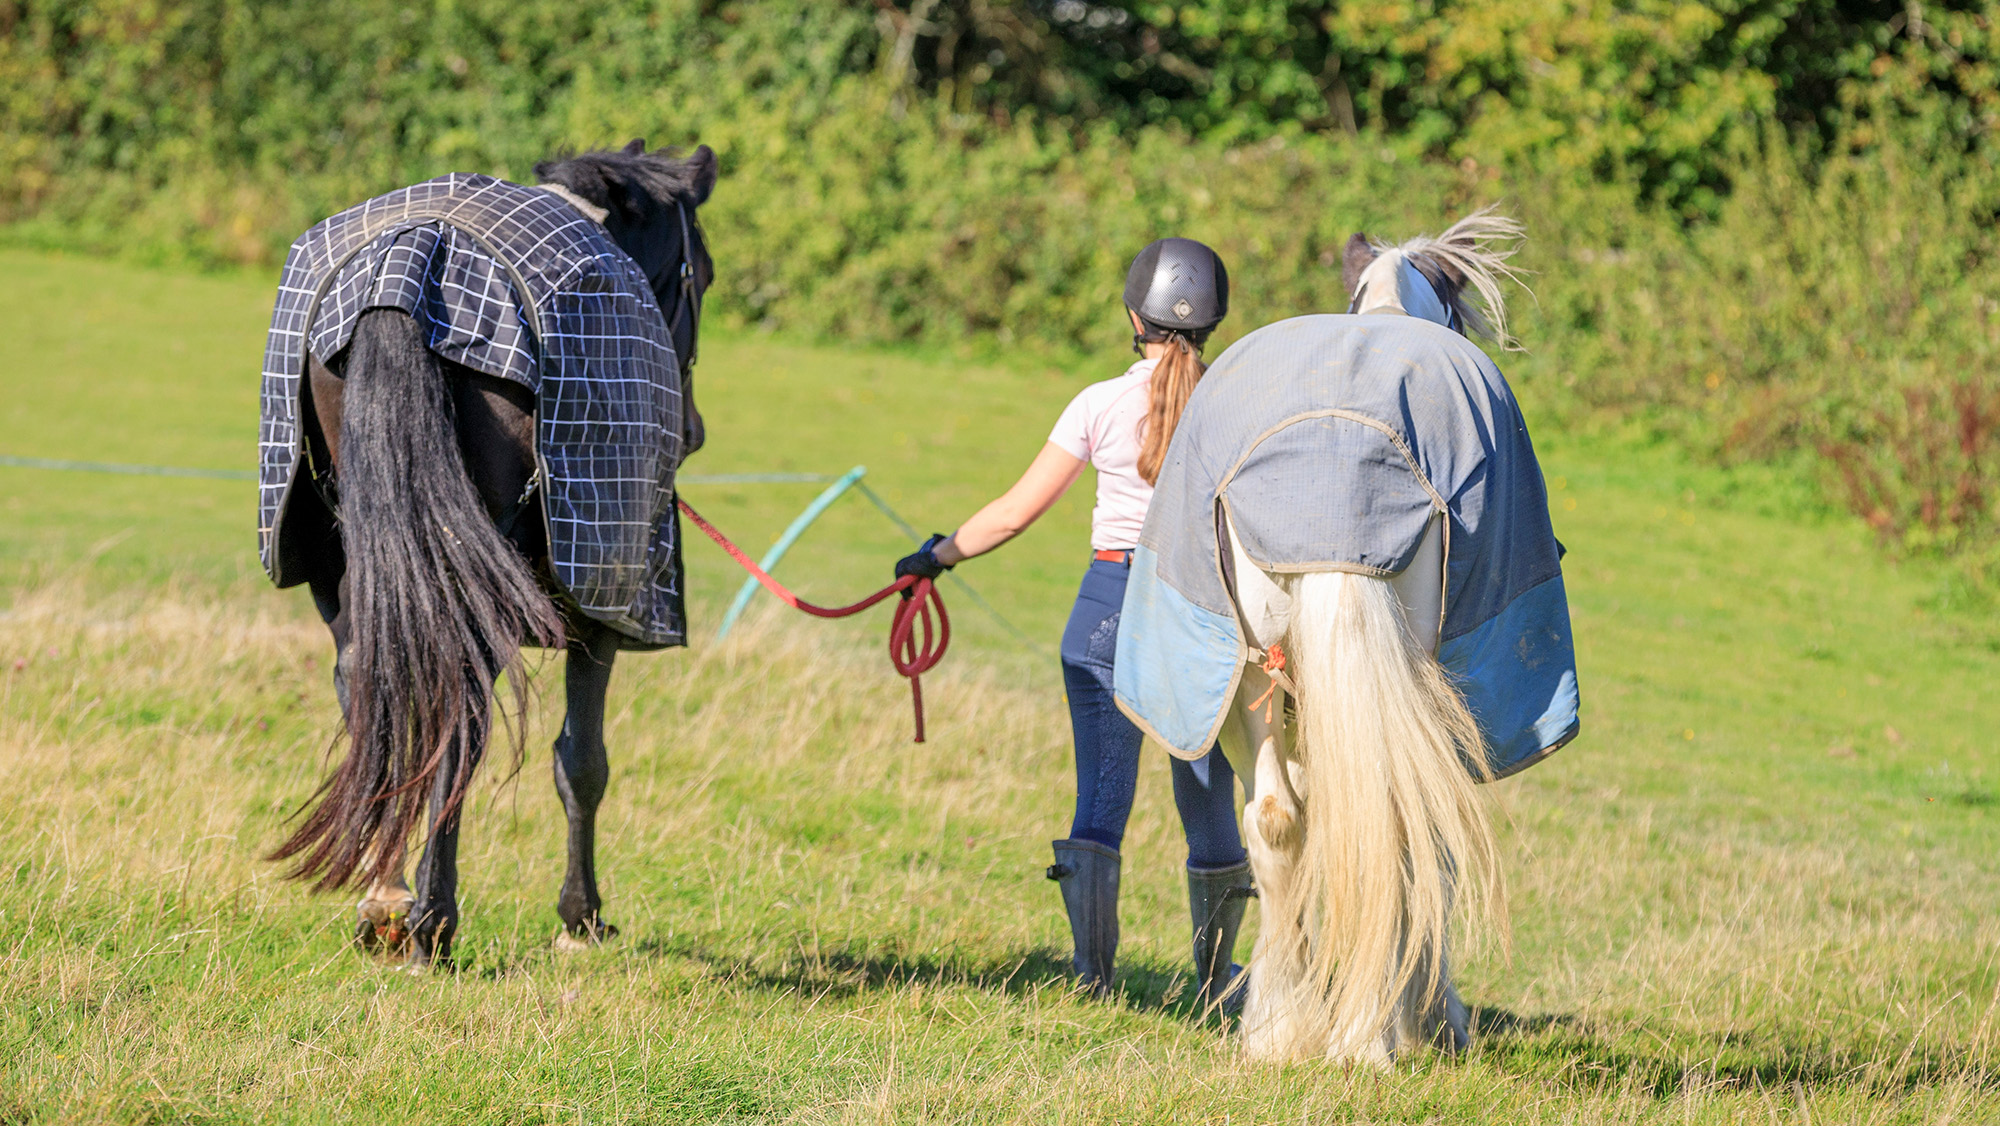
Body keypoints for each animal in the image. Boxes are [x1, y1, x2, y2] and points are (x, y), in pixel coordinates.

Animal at [255, 140, 717, 969]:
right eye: (707, 274)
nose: (692, 427)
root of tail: (410, 262)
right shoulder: (599, 612)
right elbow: (581, 761)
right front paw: (581, 915)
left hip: (349, 560)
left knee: (375, 688)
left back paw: (386, 898)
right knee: (458, 714)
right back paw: (431, 919)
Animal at [1112, 210, 1579, 1063]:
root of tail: (1336, 476)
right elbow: (1427, 839)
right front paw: (1434, 1013)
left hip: (1248, 682)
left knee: (1278, 822)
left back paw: (1283, 1026)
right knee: (1398, 825)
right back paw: (1372, 1033)